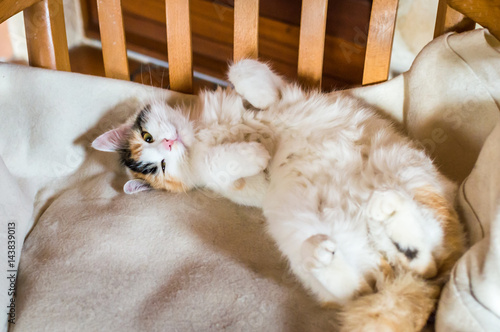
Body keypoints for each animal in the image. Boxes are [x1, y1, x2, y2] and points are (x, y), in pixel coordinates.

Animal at [93, 60, 464, 332]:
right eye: (162, 166)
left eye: (148, 137)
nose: (170, 144)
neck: (202, 130)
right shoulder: (239, 186)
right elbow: (217, 163)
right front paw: (256, 153)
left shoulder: (280, 90)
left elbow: (242, 70)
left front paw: (254, 104)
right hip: (297, 227)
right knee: (365, 284)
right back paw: (334, 251)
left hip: (408, 171)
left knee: (425, 258)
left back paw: (391, 222)